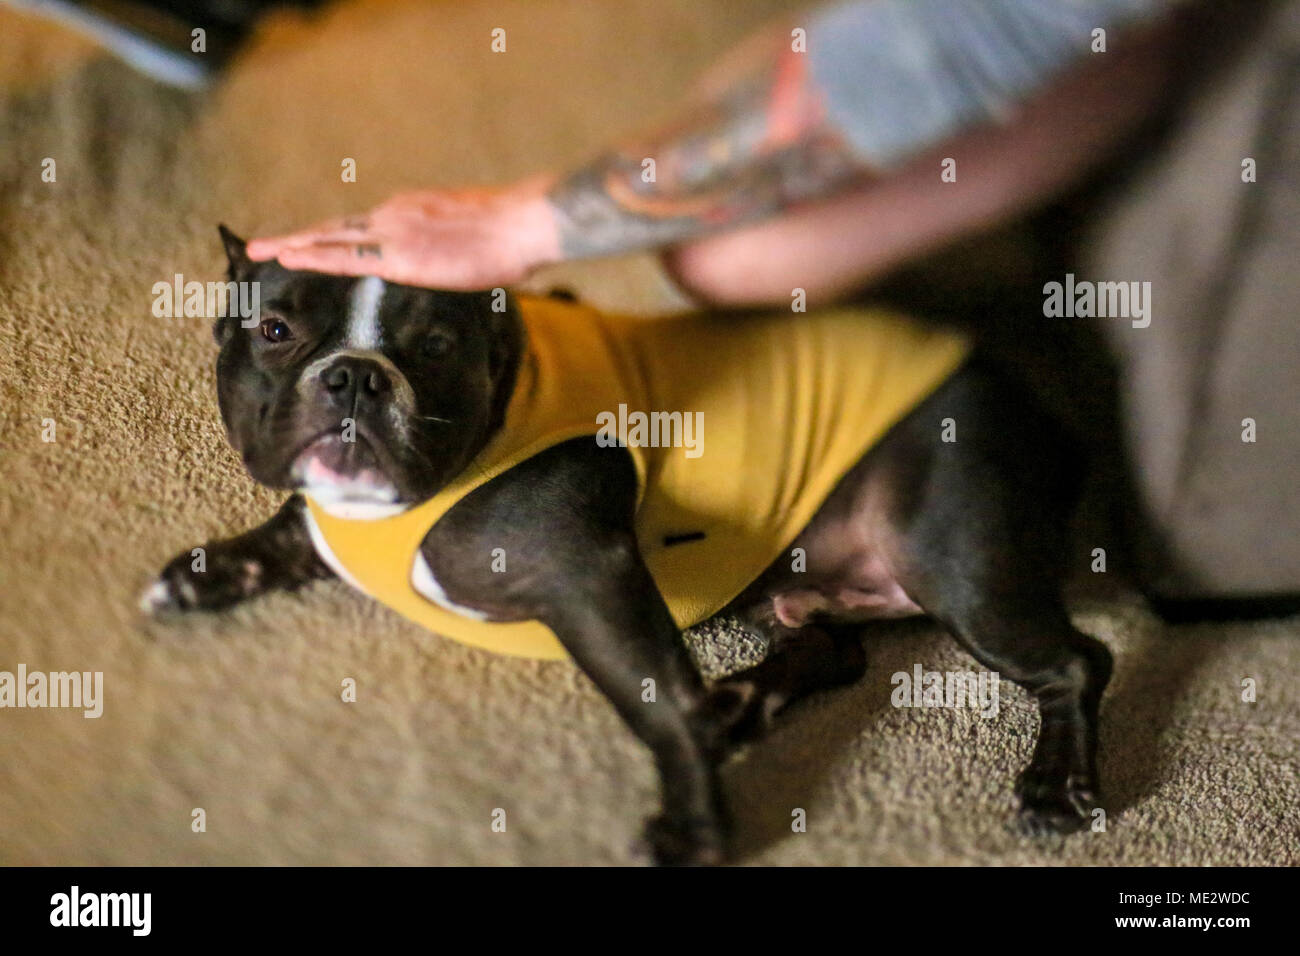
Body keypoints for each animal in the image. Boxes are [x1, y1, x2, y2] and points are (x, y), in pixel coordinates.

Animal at [144, 231, 1118, 868]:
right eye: (275, 330)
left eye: (435, 346)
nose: (353, 374)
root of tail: (1042, 414)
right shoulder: (325, 516)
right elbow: (287, 531)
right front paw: (209, 574)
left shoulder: (593, 582)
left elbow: (658, 707)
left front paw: (695, 826)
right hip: (796, 585)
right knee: (830, 650)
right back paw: (740, 704)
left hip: (950, 559)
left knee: (1077, 660)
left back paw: (1056, 785)